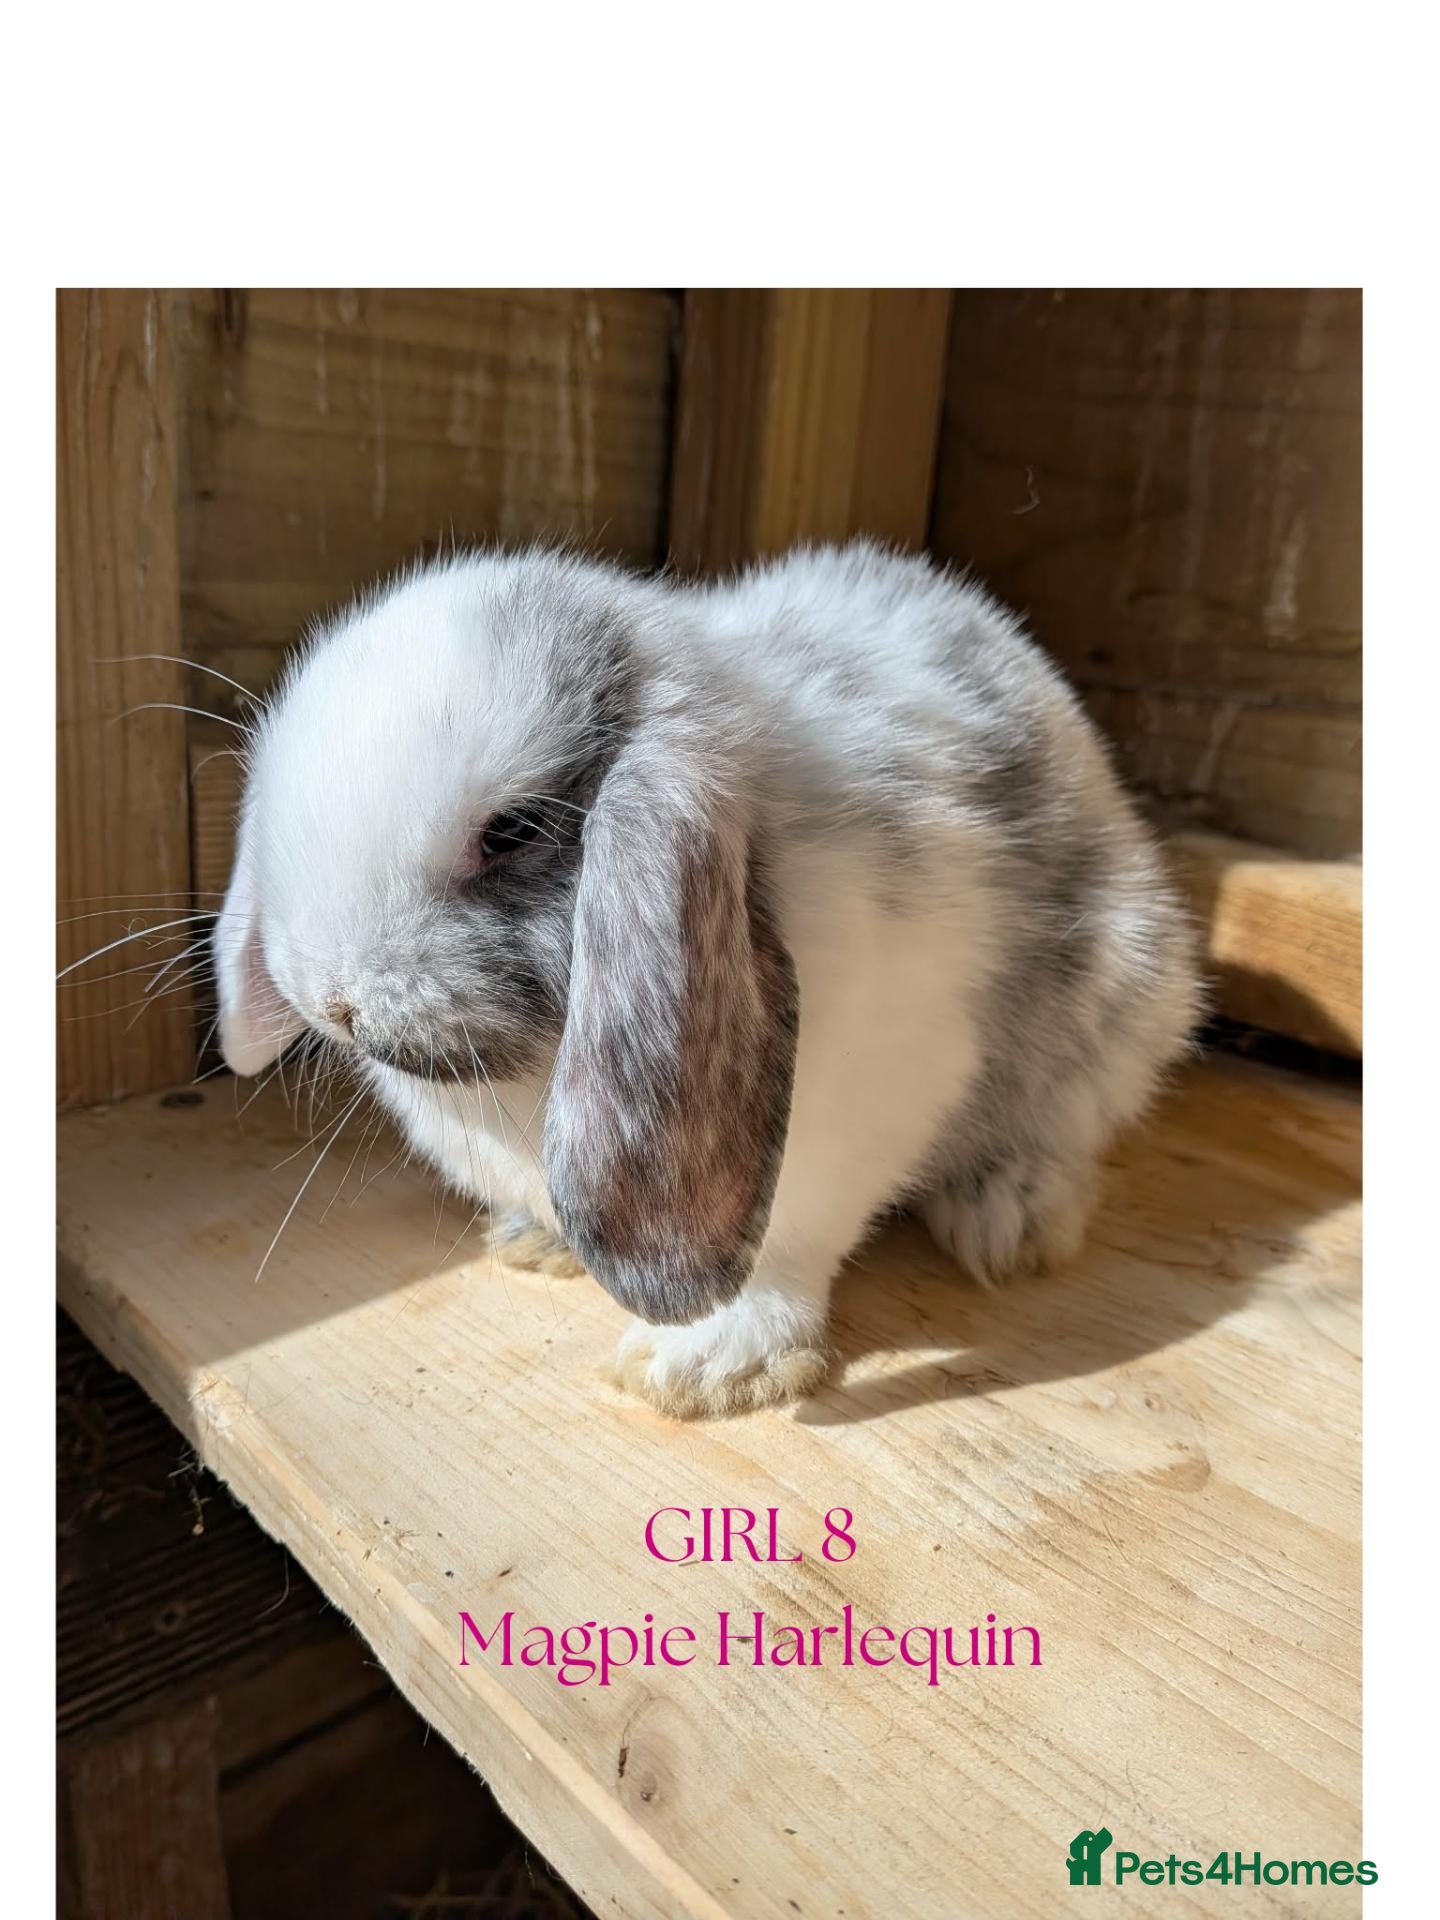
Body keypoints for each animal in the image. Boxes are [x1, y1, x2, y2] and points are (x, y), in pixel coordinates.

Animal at [216, 540, 1199, 1418]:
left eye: (514, 830)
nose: (330, 998)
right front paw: (541, 1242)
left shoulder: (867, 1105)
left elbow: (788, 1248)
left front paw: (707, 1366)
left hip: (1122, 1010)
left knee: (1062, 1132)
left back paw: (1009, 1220)